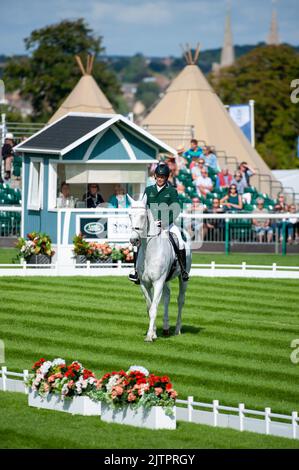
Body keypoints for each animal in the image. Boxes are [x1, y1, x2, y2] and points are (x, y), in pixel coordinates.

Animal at [127, 195, 191, 342]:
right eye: (130, 215)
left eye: (143, 216)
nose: (134, 240)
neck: (149, 251)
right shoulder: (145, 284)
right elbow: (150, 307)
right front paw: (154, 332)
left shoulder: (158, 282)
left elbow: (154, 308)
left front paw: (150, 336)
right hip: (165, 281)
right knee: (167, 297)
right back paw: (166, 328)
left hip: (182, 279)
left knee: (180, 300)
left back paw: (177, 330)